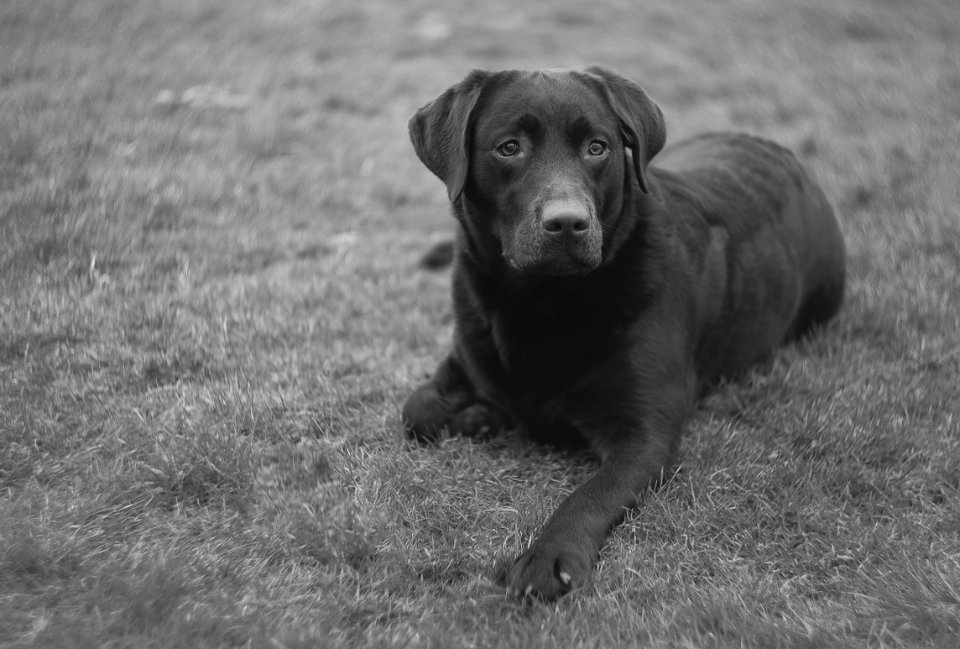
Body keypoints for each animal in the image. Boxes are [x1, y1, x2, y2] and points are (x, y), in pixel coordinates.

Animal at [402, 66, 844, 596]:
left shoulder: (644, 435)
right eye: (509, 148)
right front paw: (481, 415)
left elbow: (592, 493)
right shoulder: (466, 351)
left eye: (597, 147)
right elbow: (417, 410)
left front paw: (549, 556)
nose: (567, 222)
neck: (544, 300)